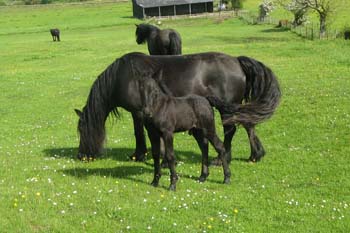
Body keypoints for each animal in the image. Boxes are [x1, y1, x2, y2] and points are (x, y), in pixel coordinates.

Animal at [74, 52, 282, 167]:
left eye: (82, 130)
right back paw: (255, 155)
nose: (81, 155)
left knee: (230, 130)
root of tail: (237, 61)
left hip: (226, 108)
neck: (124, 77)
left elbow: (139, 133)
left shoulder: (139, 112)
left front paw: (140, 155)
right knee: (248, 124)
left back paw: (221, 159)